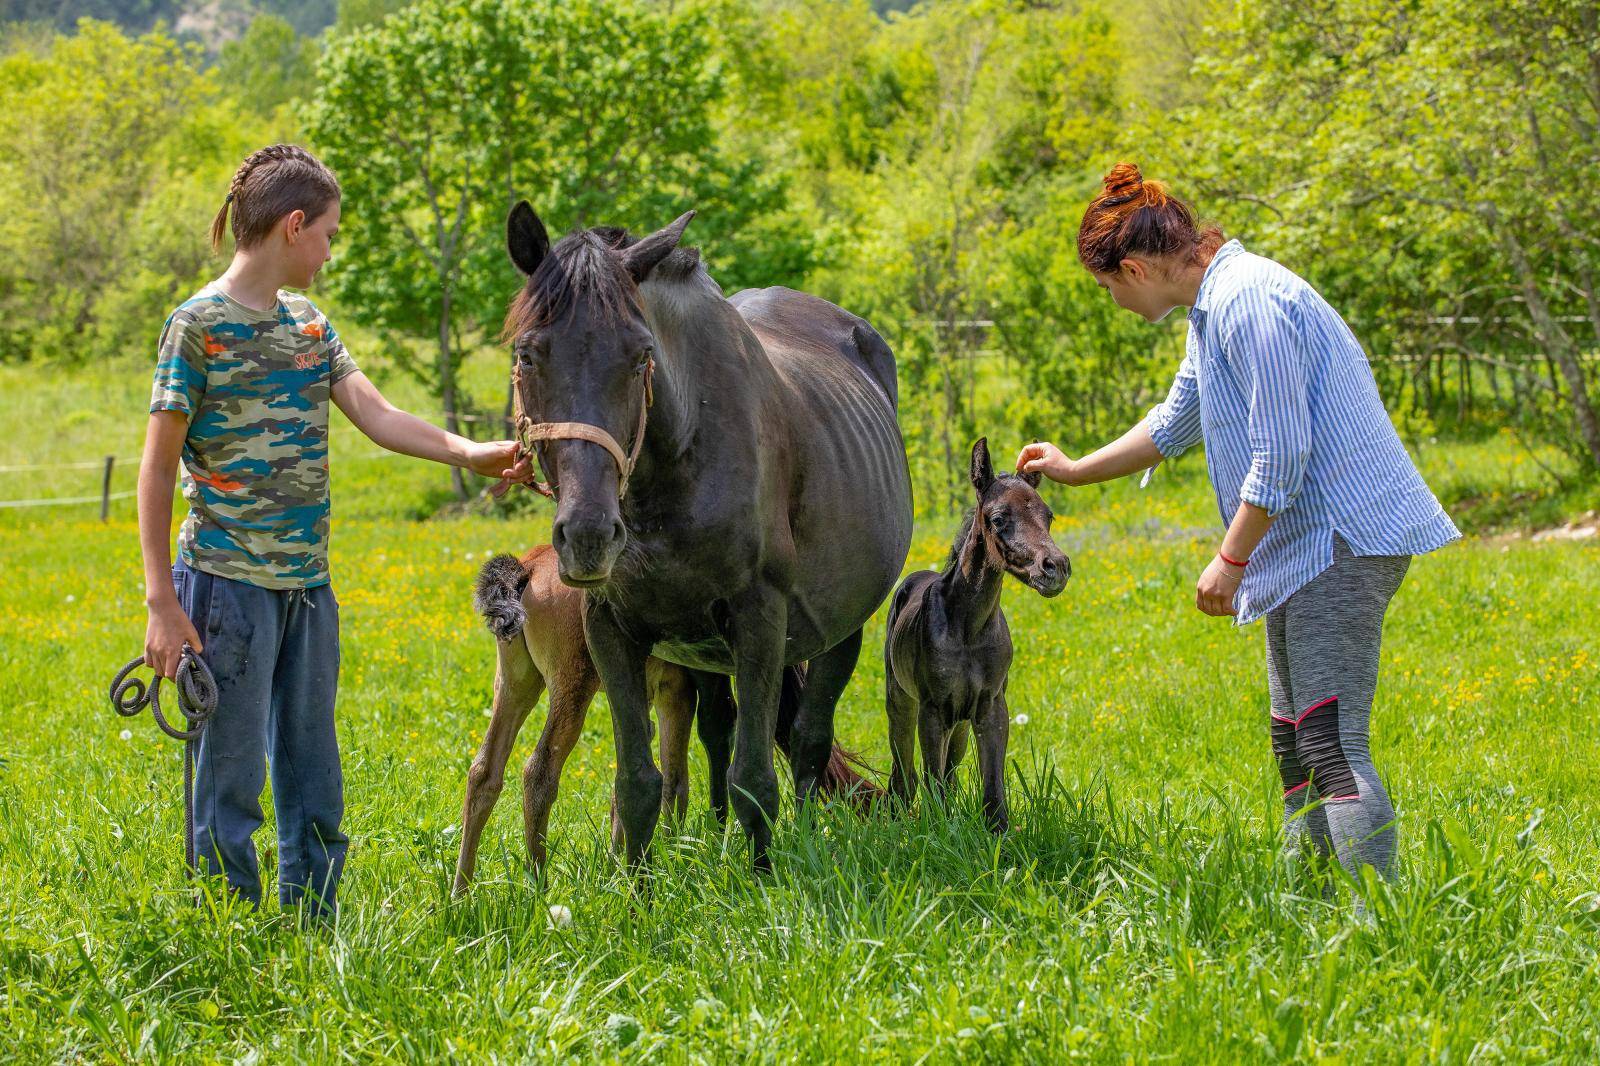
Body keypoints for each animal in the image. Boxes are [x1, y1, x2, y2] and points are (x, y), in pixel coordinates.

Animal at [883, 435, 1068, 825]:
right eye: (998, 519)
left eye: (1048, 516)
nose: (1056, 568)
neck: (968, 628)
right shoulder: (932, 710)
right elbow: (931, 780)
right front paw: (936, 830)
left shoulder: (990, 706)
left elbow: (992, 785)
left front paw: (997, 833)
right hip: (901, 702)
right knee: (904, 770)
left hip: (960, 724)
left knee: (949, 772)